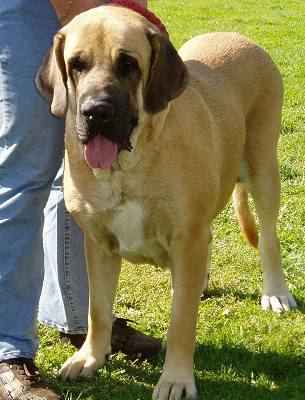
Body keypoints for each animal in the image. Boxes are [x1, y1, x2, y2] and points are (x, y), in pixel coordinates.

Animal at [35, 4, 294, 398]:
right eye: (76, 64)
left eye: (129, 64)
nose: (96, 112)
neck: (129, 168)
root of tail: (240, 38)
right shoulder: (98, 244)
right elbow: (98, 310)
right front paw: (90, 358)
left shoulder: (187, 237)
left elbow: (181, 322)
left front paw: (176, 379)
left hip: (263, 167)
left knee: (268, 239)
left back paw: (276, 292)